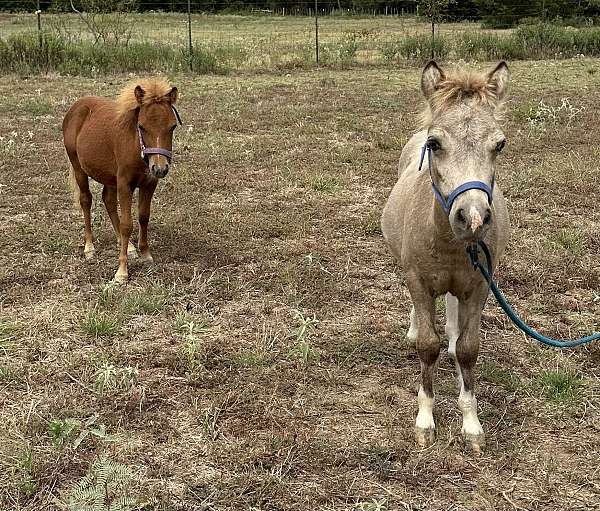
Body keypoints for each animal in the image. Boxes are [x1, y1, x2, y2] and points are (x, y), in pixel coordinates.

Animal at [63, 78, 180, 282]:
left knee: (108, 201)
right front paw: (122, 272)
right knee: (86, 200)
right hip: (79, 168)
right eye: (141, 126)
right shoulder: (125, 185)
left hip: (110, 177)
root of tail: (76, 107)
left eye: (172, 126)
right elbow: (127, 225)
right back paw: (89, 247)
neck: (136, 146)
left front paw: (145, 253)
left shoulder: (149, 184)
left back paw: (129, 247)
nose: (160, 168)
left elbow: (143, 217)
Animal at [382, 61, 508, 452]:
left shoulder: (480, 286)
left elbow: (468, 349)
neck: (452, 246)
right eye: (434, 144)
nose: (473, 217)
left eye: (500, 144)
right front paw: (425, 421)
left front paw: (471, 425)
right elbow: (427, 346)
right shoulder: (419, 282)